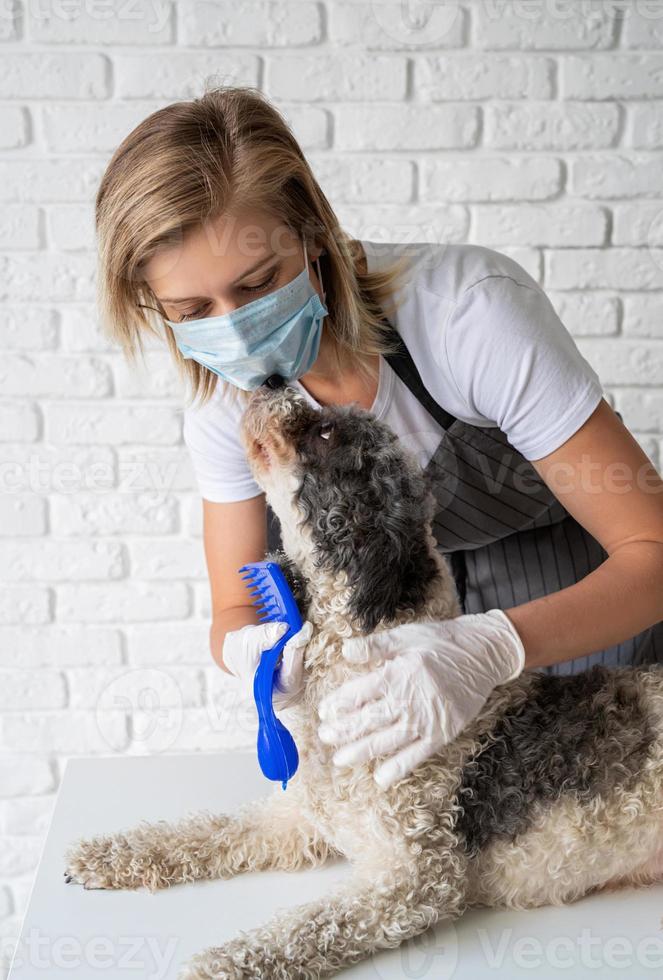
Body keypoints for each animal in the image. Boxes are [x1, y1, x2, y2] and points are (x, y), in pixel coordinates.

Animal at [65, 382, 663, 980]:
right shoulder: (300, 819)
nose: (272, 381)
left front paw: (220, 964)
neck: (357, 660)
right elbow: (211, 830)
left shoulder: (413, 878)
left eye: (327, 433)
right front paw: (109, 855)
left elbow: (303, 929)